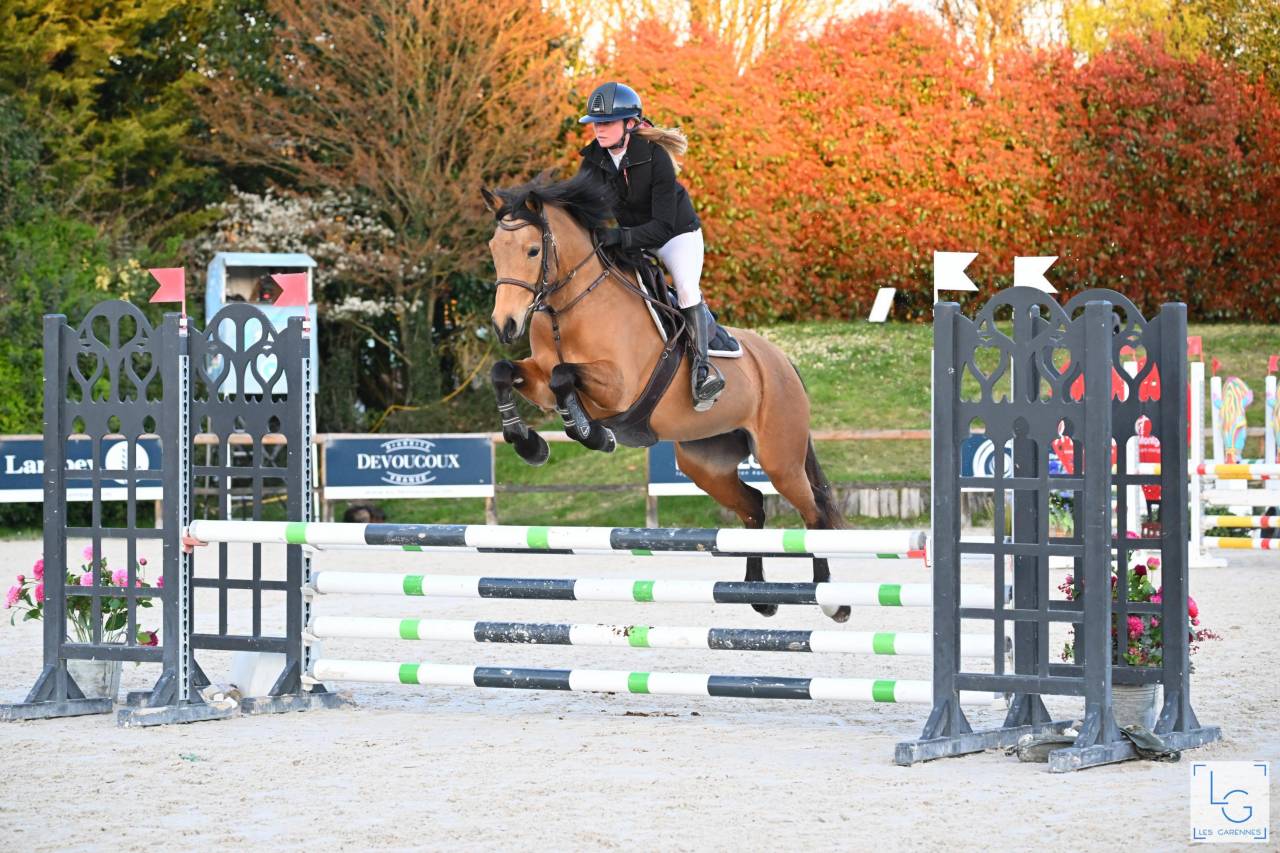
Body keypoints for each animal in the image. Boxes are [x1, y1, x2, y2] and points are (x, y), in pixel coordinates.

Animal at [480, 171, 849, 621]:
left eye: (533, 250)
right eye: (494, 250)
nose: (505, 325)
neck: (569, 309)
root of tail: (782, 362)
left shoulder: (620, 386)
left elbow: (564, 377)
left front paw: (591, 433)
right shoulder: (538, 376)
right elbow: (506, 373)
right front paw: (528, 443)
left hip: (781, 458)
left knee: (813, 512)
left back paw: (832, 601)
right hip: (704, 462)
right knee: (753, 505)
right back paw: (760, 596)